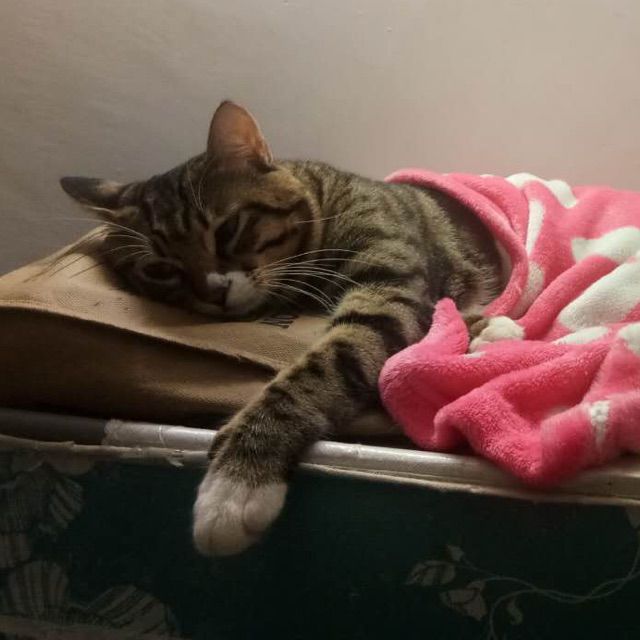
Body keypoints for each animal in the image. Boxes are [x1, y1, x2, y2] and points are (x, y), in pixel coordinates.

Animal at [60, 101, 504, 555]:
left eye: (228, 229)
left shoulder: (388, 292)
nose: (214, 292)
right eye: (159, 269)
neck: (325, 203)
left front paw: (237, 481)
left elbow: (318, 370)